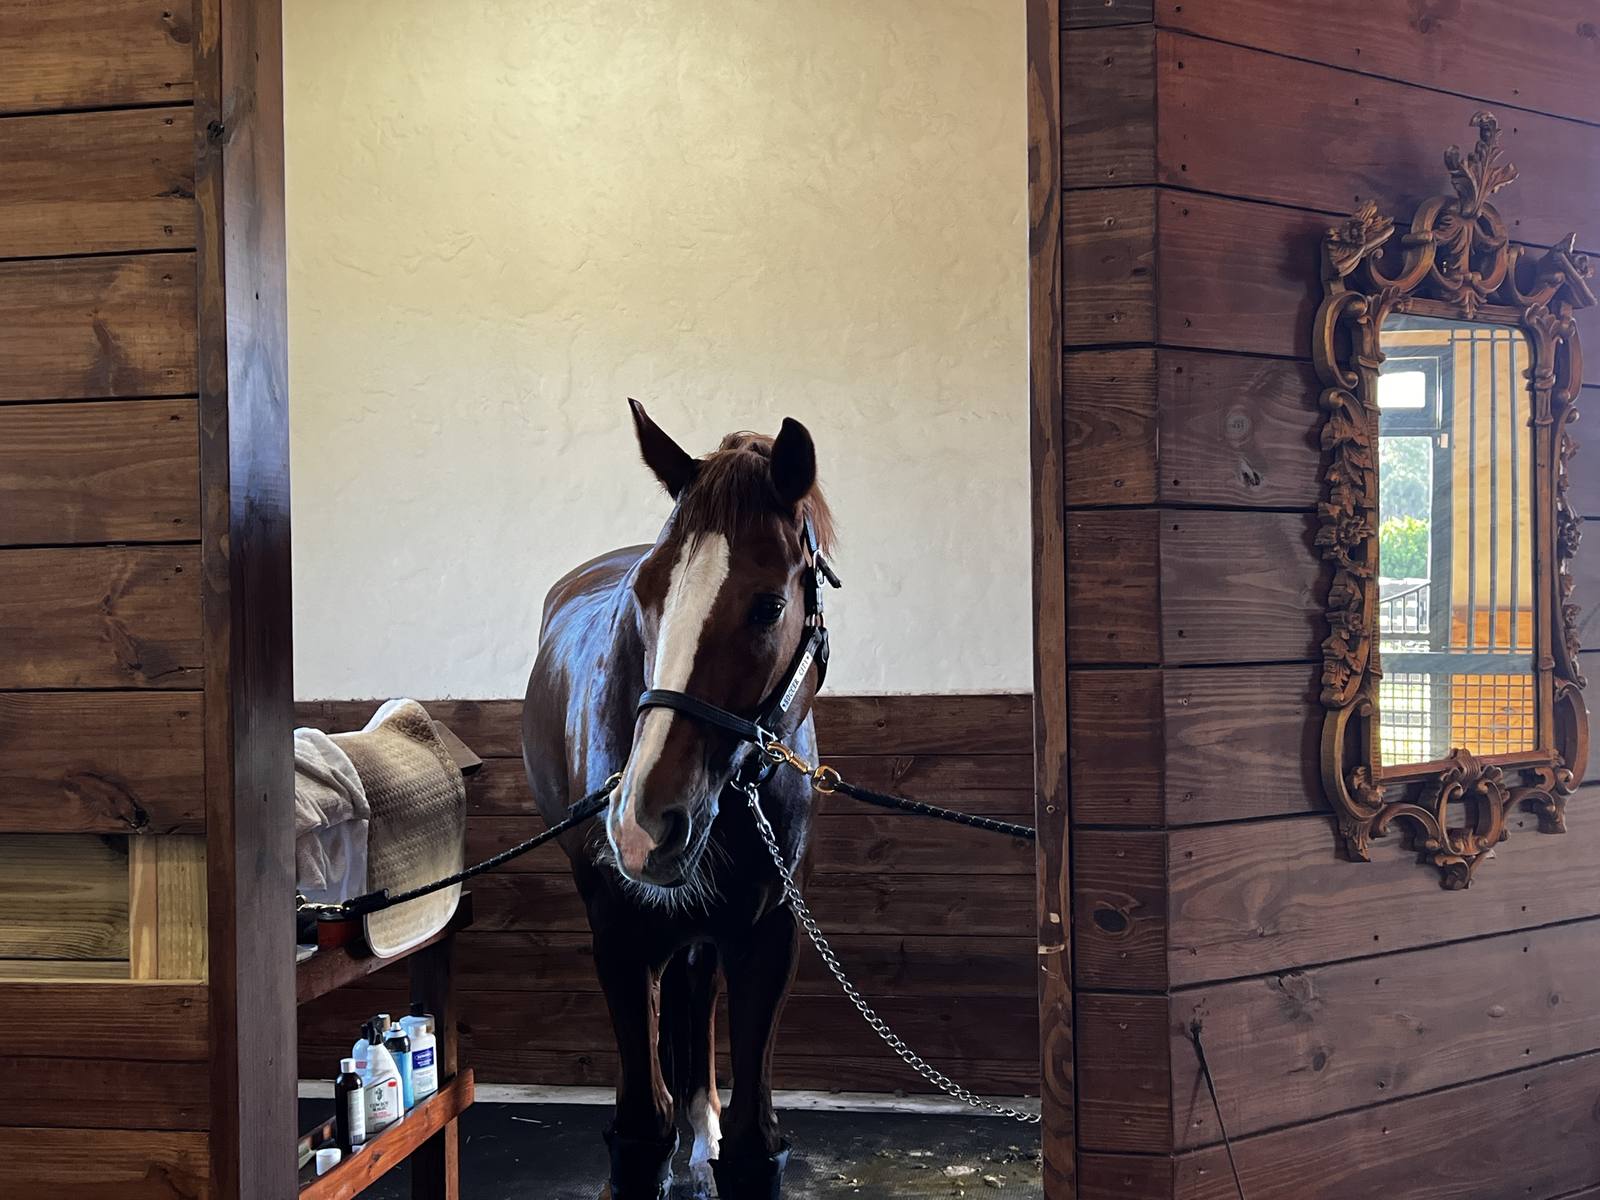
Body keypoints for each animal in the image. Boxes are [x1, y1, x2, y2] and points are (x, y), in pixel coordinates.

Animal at [522, 401, 837, 1199]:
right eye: (645, 593)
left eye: (769, 605)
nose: (640, 827)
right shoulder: (619, 930)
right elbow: (639, 1134)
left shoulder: (770, 934)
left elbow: (755, 1150)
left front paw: (713, 1141)